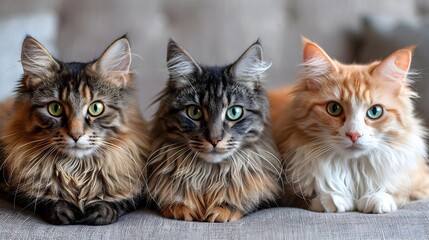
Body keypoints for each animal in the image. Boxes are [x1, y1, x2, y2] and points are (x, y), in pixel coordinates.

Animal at [0, 35, 150, 225]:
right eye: (55, 109)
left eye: (96, 108)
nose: (76, 135)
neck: (77, 170)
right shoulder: (12, 188)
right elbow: (41, 199)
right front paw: (63, 211)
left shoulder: (139, 190)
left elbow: (121, 200)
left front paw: (100, 212)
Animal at [270, 38, 428, 214]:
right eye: (334, 108)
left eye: (375, 111)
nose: (354, 135)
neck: (354, 169)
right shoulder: (288, 193)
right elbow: (313, 196)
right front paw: (333, 198)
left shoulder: (422, 183)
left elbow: (401, 193)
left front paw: (377, 198)